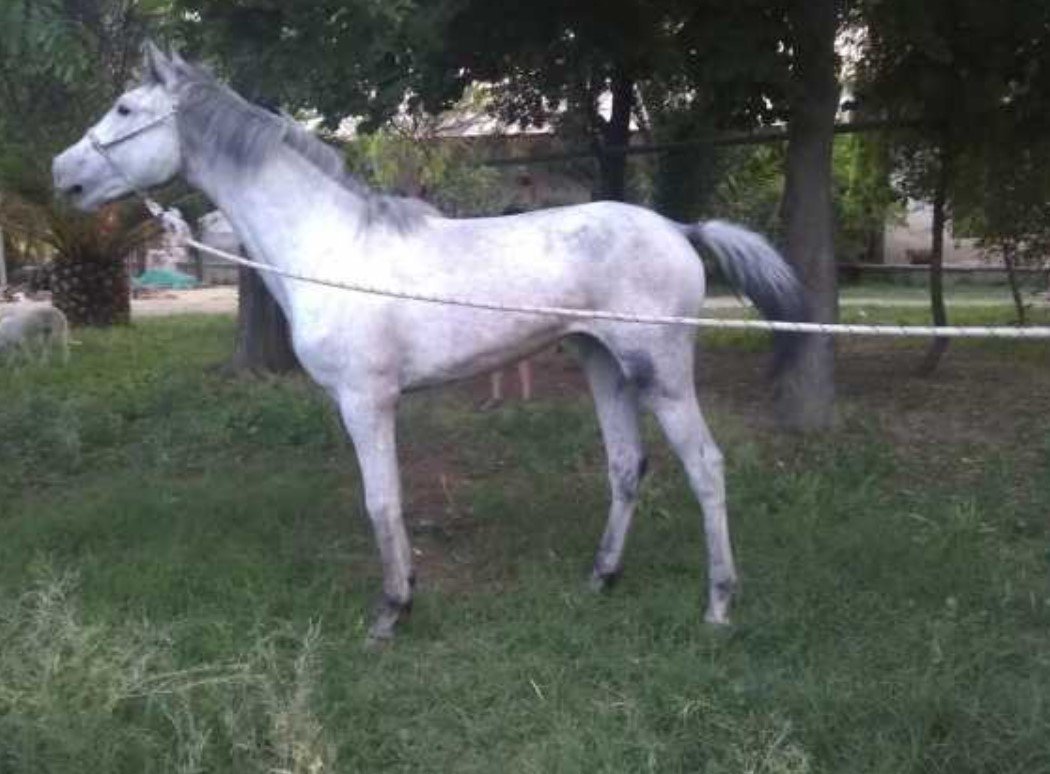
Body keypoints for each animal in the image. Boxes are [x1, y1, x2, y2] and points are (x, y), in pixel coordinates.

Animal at [53, 43, 809, 642]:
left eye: (125, 108)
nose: (64, 175)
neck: (329, 246)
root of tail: (680, 229)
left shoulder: (366, 402)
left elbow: (381, 501)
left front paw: (392, 610)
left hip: (660, 372)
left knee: (705, 467)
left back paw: (718, 606)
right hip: (603, 364)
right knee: (626, 466)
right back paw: (601, 577)